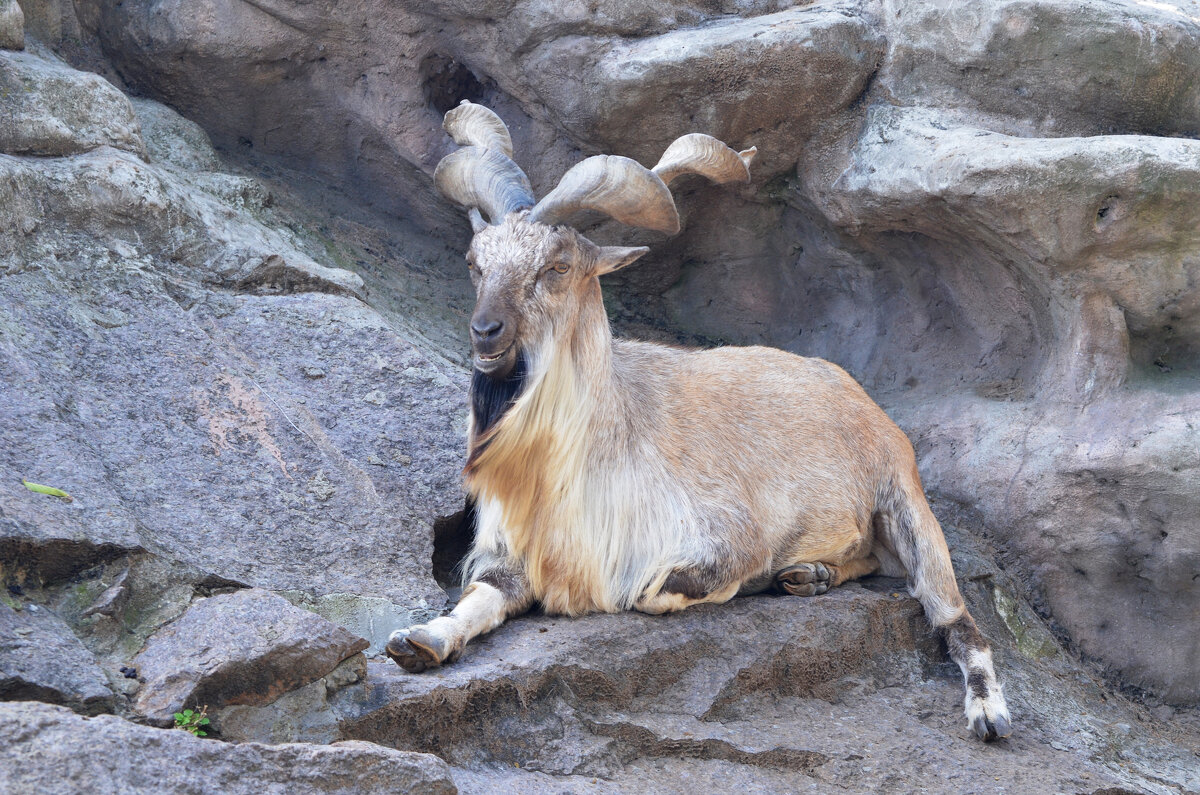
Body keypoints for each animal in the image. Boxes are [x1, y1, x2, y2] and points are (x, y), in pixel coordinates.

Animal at [388, 101, 1008, 739]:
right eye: (475, 263)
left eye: (557, 266)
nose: (486, 332)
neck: (584, 463)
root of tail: (856, 393)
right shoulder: (512, 558)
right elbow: (478, 600)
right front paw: (419, 642)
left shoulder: (724, 537)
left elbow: (653, 592)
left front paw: (745, 583)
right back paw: (809, 575)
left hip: (907, 504)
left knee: (956, 618)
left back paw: (988, 713)